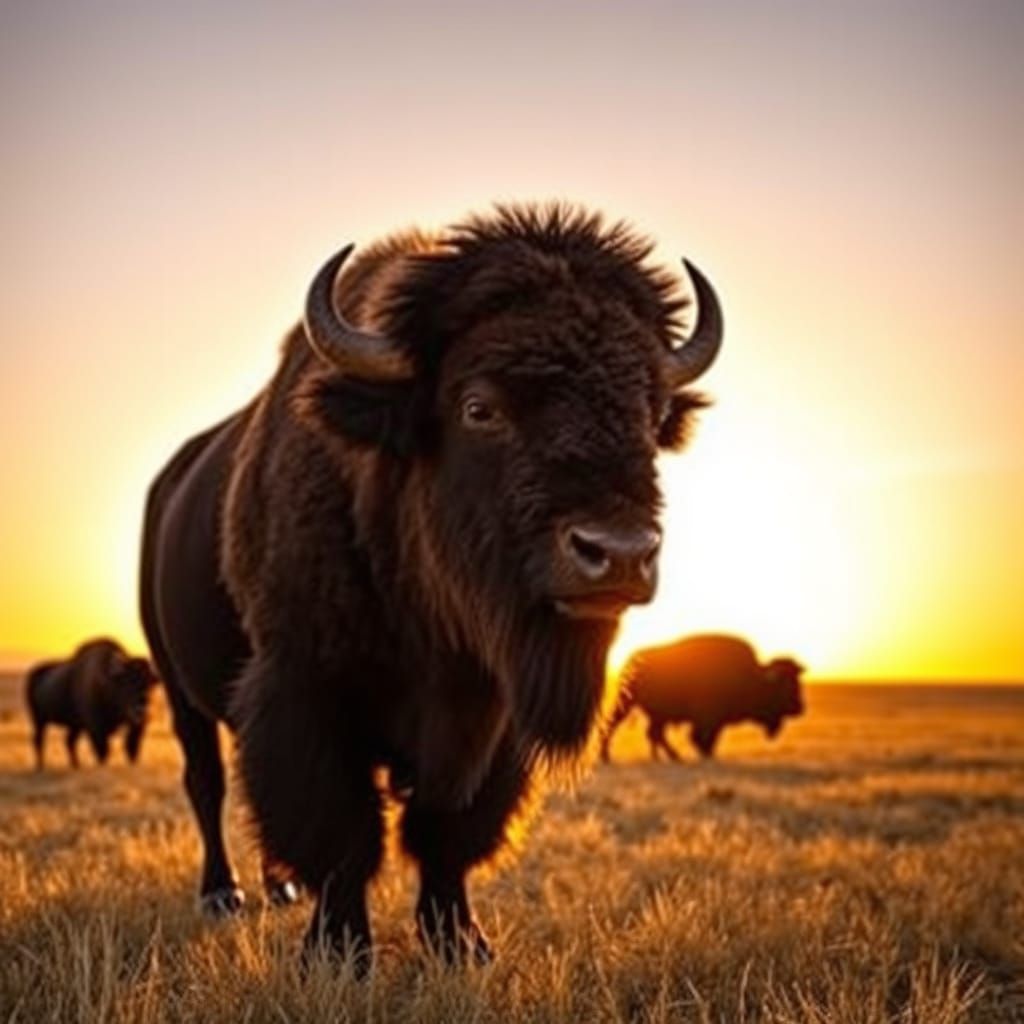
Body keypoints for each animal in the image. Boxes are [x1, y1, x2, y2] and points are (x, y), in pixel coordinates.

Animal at [25, 638, 158, 769]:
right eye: (127, 682)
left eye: (151, 684)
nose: (142, 708)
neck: (107, 681)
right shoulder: (96, 728)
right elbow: (103, 750)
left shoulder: (134, 727)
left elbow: (131, 747)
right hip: (38, 720)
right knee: (39, 740)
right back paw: (40, 766)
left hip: (74, 725)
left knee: (69, 742)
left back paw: (76, 765)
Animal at [139, 203, 724, 964]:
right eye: (479, 407)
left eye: (651, 415)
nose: (619, 553)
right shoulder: (307, 692)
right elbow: (342, 829)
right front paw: (337, 951)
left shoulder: (488, 719)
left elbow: (448, 829)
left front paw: (462, 942)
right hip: (179, 688)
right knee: (206, 783)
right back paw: (222, 894)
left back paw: (279, 888)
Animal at [602, 633, 805, 761]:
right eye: (785, 685)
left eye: (797, 681)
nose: (799, 708)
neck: (752, 676)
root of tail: (631, 658)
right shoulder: (707, 718)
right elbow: (701, 738)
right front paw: (705, 755)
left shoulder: (717, 720)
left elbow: (710, 739)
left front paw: (708, 755)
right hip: (627, 703)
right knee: (613, 725)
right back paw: (607, 758)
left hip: (659, 714)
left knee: (654, 733)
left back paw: (668, 757)